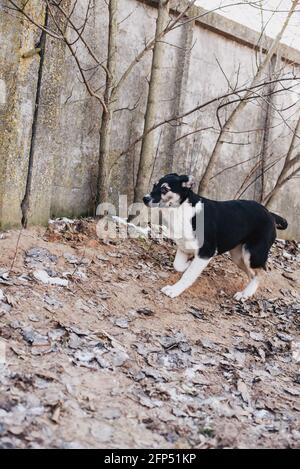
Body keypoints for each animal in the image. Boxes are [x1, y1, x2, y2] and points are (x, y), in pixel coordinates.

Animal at [144, 173, 288, 300]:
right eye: (154, 185)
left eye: (164, 189)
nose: (145, 199)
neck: (181, 210)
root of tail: (270, 214)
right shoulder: (184, 248)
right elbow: (178, 265)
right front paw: (188, 264)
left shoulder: (206, 252)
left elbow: (188, 275)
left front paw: (174, 290)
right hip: (238, 256)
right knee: (253, 274)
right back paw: (245, 293)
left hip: (252, 254)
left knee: (261, 273)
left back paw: (246, 293)